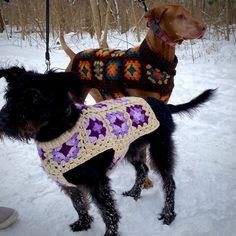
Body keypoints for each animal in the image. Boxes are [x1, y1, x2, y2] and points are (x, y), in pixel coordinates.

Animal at [0, 67, 215, 236]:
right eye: (9, 95)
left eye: (34, 96)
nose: (3, 119)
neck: (60, 131)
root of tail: (163, 105)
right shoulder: (69, 184)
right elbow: (79, 204)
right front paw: (83, 223)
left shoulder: (97, 183)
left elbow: (108, 212)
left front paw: (110, 234)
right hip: (132, 150)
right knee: (143, 170)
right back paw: (134, 193)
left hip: (160, 150)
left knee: (169, 183)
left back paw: (168, 214)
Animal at [60, 4, 206, 188]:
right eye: (180, 16)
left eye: (189, 13)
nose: (204, 27)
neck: (156, 58)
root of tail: (74, 56)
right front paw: (145, 180)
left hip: (102, 96)